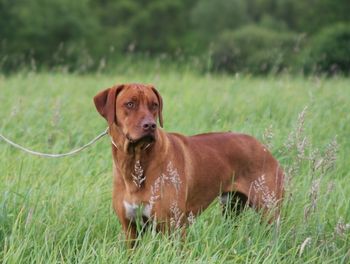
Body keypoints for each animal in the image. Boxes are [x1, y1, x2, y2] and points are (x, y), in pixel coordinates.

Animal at [93, 83, 284, 244]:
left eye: (154, 105)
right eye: (130, 104)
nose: (150, 125)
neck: (136, 162)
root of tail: (264, 148)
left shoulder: (174, 228)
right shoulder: (131, 230)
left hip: (269, 209)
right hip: (231, 207)